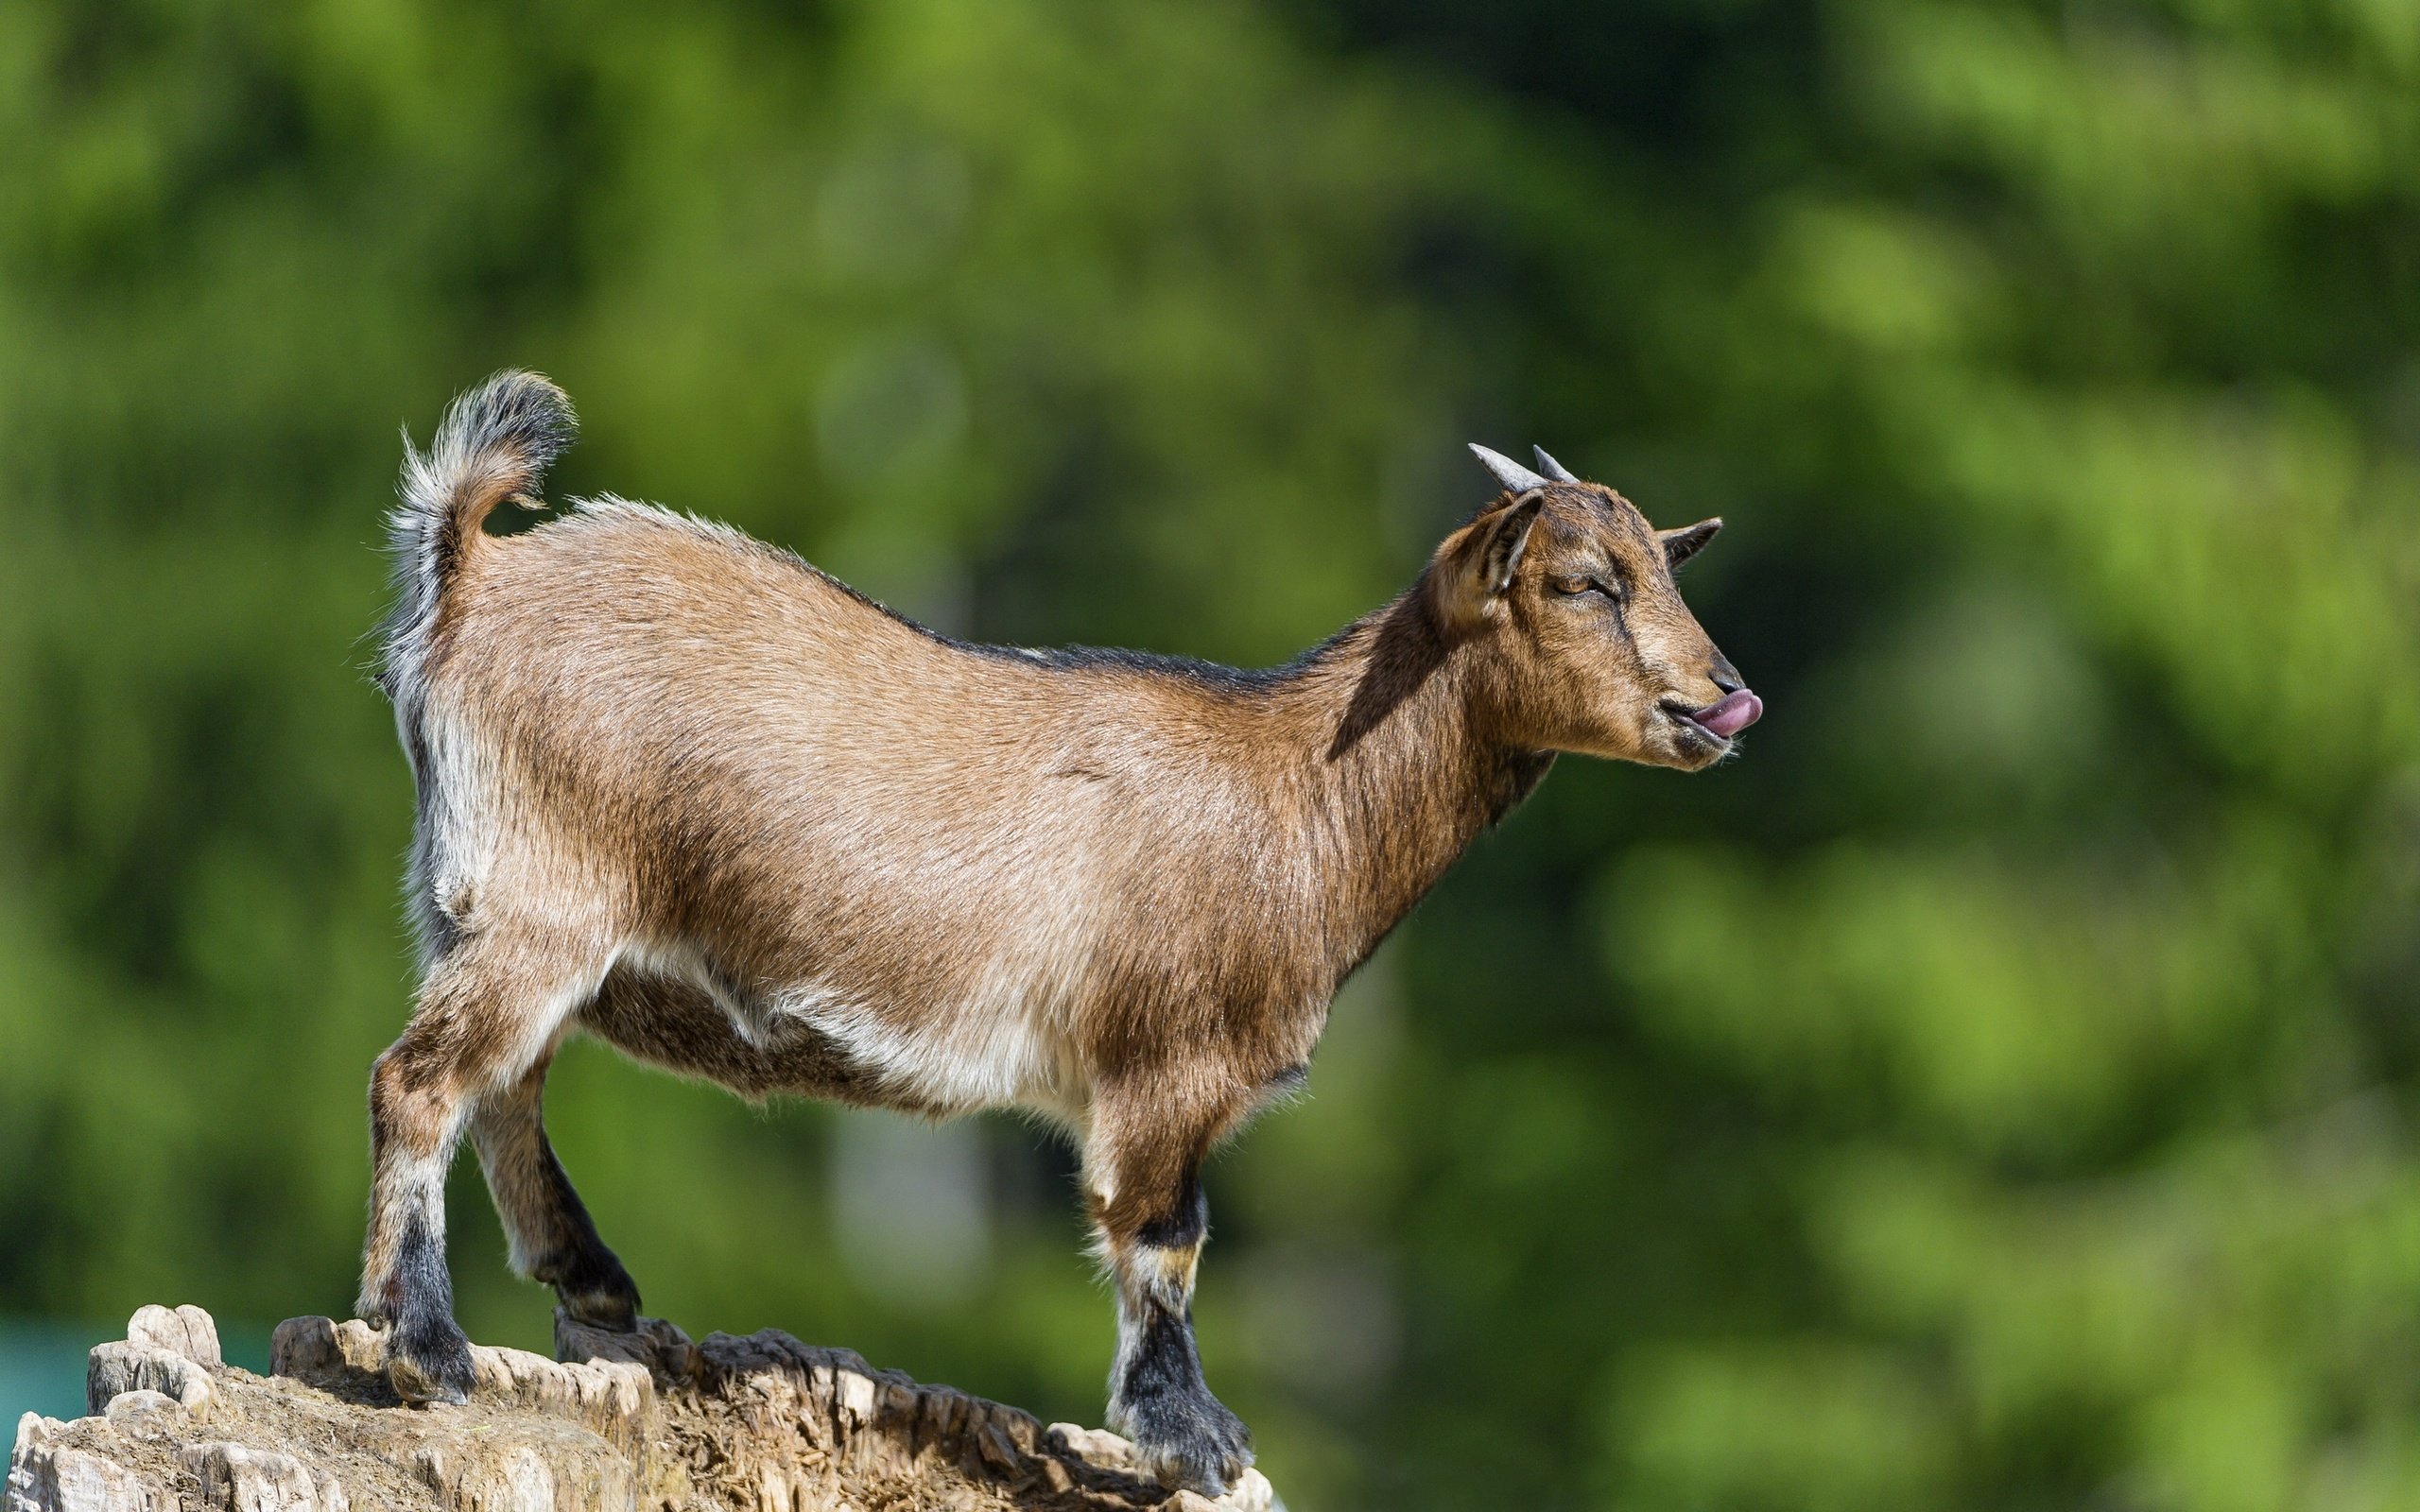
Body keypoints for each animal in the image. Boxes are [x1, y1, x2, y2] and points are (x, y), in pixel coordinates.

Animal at [357, 372, 1761, 1489]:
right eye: (1584, 582)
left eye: (1666, 568)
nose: (1725, 699)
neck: (1297, 786)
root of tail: (471, 572)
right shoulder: (1165, 1066)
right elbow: (1163, 1239)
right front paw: (1195, 1439)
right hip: (540, 896)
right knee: (420, 1081)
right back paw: (422, 1344)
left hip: (482, 907)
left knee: (505, 1081)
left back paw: (587, 1282)